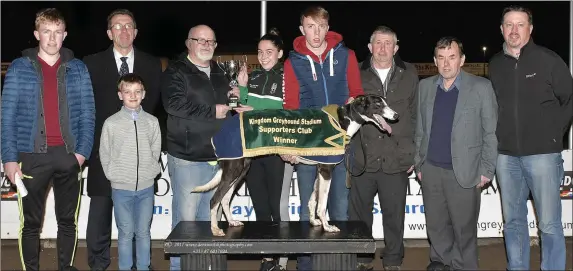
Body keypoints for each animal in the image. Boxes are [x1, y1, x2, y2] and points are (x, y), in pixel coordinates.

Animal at [192, 94, 398, 237]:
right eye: (378, 104)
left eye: (386, 102)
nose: (396, 115)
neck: (343, 121)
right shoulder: (326, 170)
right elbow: (322, 204)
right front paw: (327, 226)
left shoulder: (320, 168)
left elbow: (313, 200)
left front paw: (314, 222)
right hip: (233, 169)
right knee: (214, 199)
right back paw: (215, 229)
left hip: (241, 170)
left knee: (225, 199)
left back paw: (232, 222)